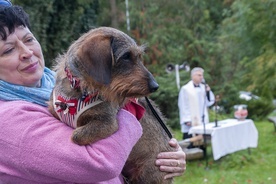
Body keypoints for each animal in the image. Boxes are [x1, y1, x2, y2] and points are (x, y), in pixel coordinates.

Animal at [47, 26, 172, 183]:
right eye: (126, 56)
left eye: (138, 56)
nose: (155, 86)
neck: (81, 89)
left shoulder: (107, 122)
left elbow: (76, 135)